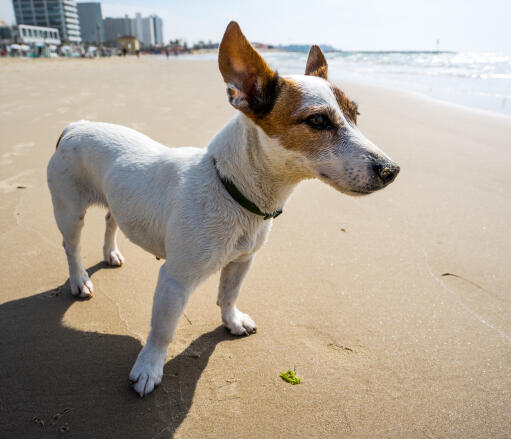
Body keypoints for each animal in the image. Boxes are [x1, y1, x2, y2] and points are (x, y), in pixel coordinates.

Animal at [47, 21, 400, 398]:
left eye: (355, 115)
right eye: (318, 121)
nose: (391, 170)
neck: (233, 189)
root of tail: (76, 126)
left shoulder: (243, 260)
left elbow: (229, 294)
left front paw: (231, 321)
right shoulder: (175, 280)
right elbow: (162, 330)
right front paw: (149, 367)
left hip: (116, 197)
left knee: (111, 218)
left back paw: (111, 253)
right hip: (69, 211)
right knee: (70, 247)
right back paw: (79, 280)